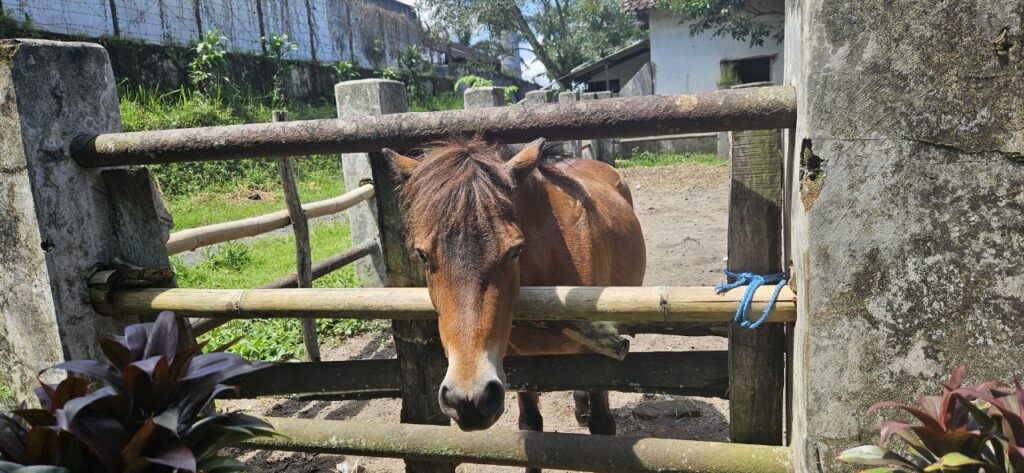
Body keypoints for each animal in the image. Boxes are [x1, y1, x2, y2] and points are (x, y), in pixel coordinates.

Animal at [381, 137, 646, 444]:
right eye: (423, 255)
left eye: (515, 250)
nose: (468, 400)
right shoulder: (515, 360)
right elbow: (530, 423)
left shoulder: (600, 351)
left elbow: (602, 424)